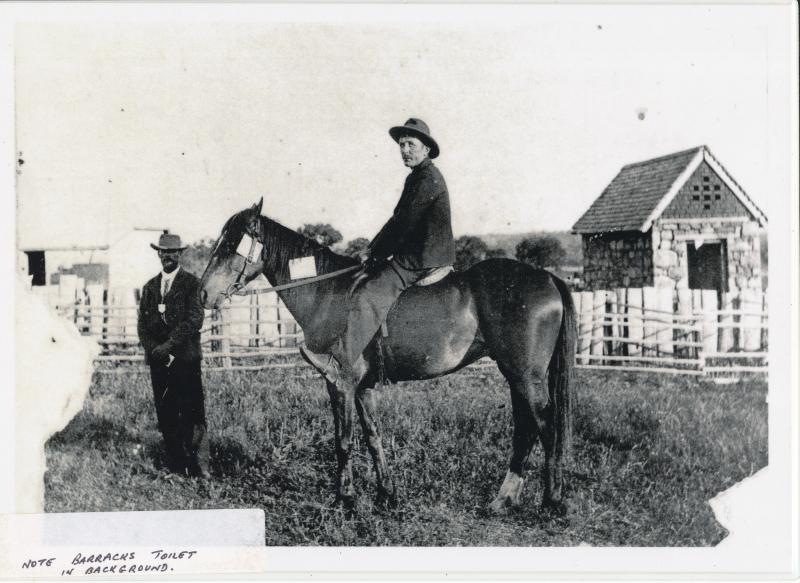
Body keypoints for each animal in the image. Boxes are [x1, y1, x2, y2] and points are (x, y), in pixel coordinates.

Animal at [199, 200, 576, 516]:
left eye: (231, 244)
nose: (203, 293)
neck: (329, 292)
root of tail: (547, 277)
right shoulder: (363, 388)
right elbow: (373, 436)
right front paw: (386, 495)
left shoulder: (341, 383)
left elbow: (343, 441)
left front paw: (345, 500)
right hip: (516, 375)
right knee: (526, 428)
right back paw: (504, 498)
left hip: (525, 376)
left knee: (546, 425)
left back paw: (552, 501)